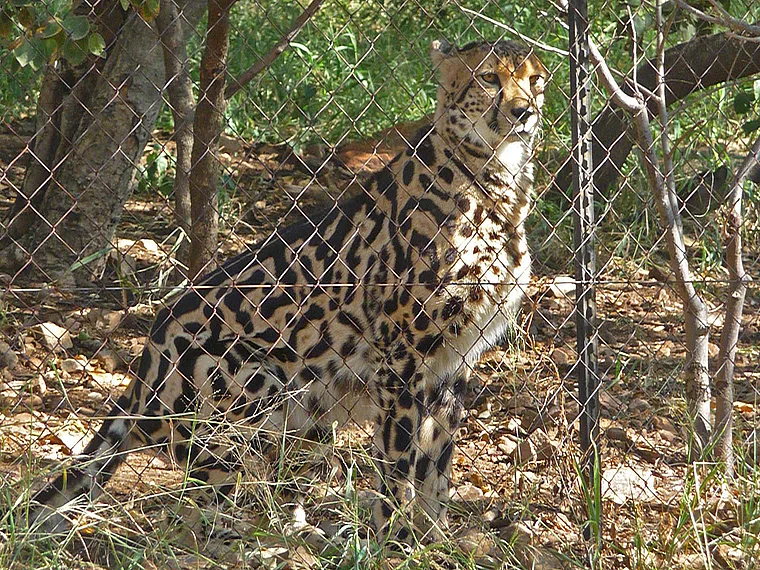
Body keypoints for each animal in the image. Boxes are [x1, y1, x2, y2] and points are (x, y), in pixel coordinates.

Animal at [30, 38, 547, 546]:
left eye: (534, 80)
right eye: (489, 78)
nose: (524, 111)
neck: (494, 177)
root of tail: (142, 372)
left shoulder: (452, 363)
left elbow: (436, 462)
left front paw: (434, 538)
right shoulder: (400, 356)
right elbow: (400, 459)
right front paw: (396, 538)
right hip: (262, 390)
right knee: (204, 509)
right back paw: (256, 540)